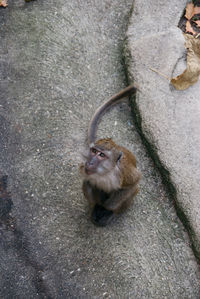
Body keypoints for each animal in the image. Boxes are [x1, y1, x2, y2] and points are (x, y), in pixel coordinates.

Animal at [79, 84, 141, 227]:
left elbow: (132, 185)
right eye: (93, 151)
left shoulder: (123, 173)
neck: (105, 172)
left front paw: (106, 209)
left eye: (101, 155)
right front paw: (97, 206)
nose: (90, 162)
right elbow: (88, 182)